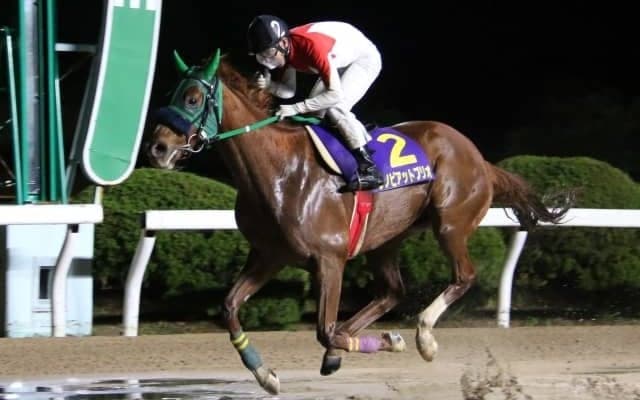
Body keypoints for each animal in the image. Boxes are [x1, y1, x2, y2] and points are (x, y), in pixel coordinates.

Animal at [146, 49, 573, 394]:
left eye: (192, 98)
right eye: (170, 95)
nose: (158, 148)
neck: (280, 171)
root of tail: (479, 157)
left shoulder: (329, 259)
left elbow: (324, 329)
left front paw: (385, 342)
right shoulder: (268, 254)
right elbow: (230, 306)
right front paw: (266, 375)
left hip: (450, 223)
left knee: (462, 276)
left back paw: (422, 338)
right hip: (386, 239)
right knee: (392, 292)